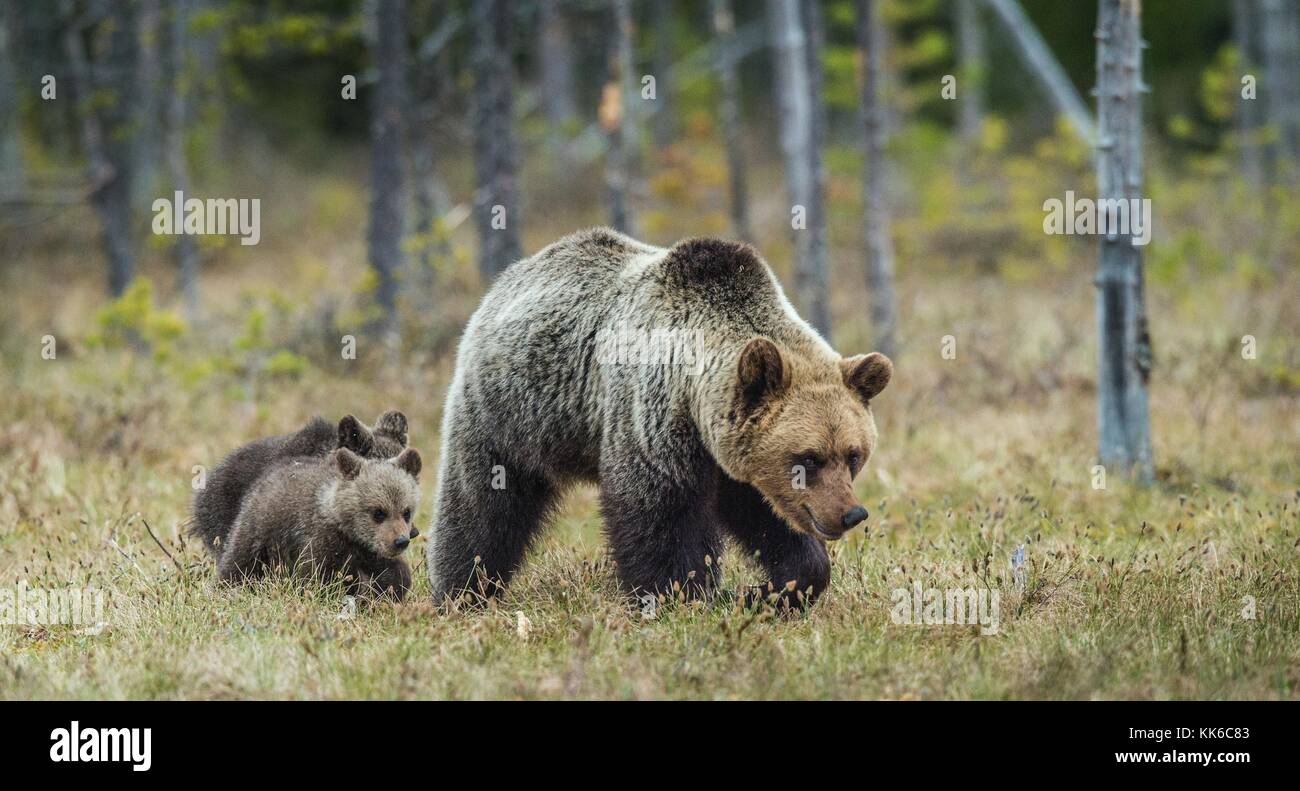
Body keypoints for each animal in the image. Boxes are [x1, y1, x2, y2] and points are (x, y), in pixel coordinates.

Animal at [218, 446, 423, 600]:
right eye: (379, 512)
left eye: (406, 511)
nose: (401, 541)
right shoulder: (321, 540)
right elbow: (315, 578)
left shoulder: (370, 553)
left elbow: (396, 576)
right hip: (260, 529)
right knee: (240, 562)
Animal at [427, 228, 892, 609]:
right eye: (808, 458)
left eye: (853, 455)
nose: (851, 514)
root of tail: (508, 278)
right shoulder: (653, 418)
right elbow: (656, 516)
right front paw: (682, 596)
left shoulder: (734, 464)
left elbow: (769, 522)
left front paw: (769, 591)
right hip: (508, 412)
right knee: (482, 503)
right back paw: (462, 590)